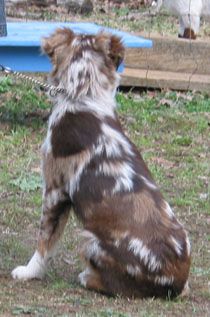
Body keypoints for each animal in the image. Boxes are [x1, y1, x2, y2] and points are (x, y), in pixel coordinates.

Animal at [12, 28, 191, 298]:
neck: (84, 95)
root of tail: (175, 283)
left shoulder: (55, 191)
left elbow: (45, 239)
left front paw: (28, 272)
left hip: (89, 238)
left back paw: (86, 276)